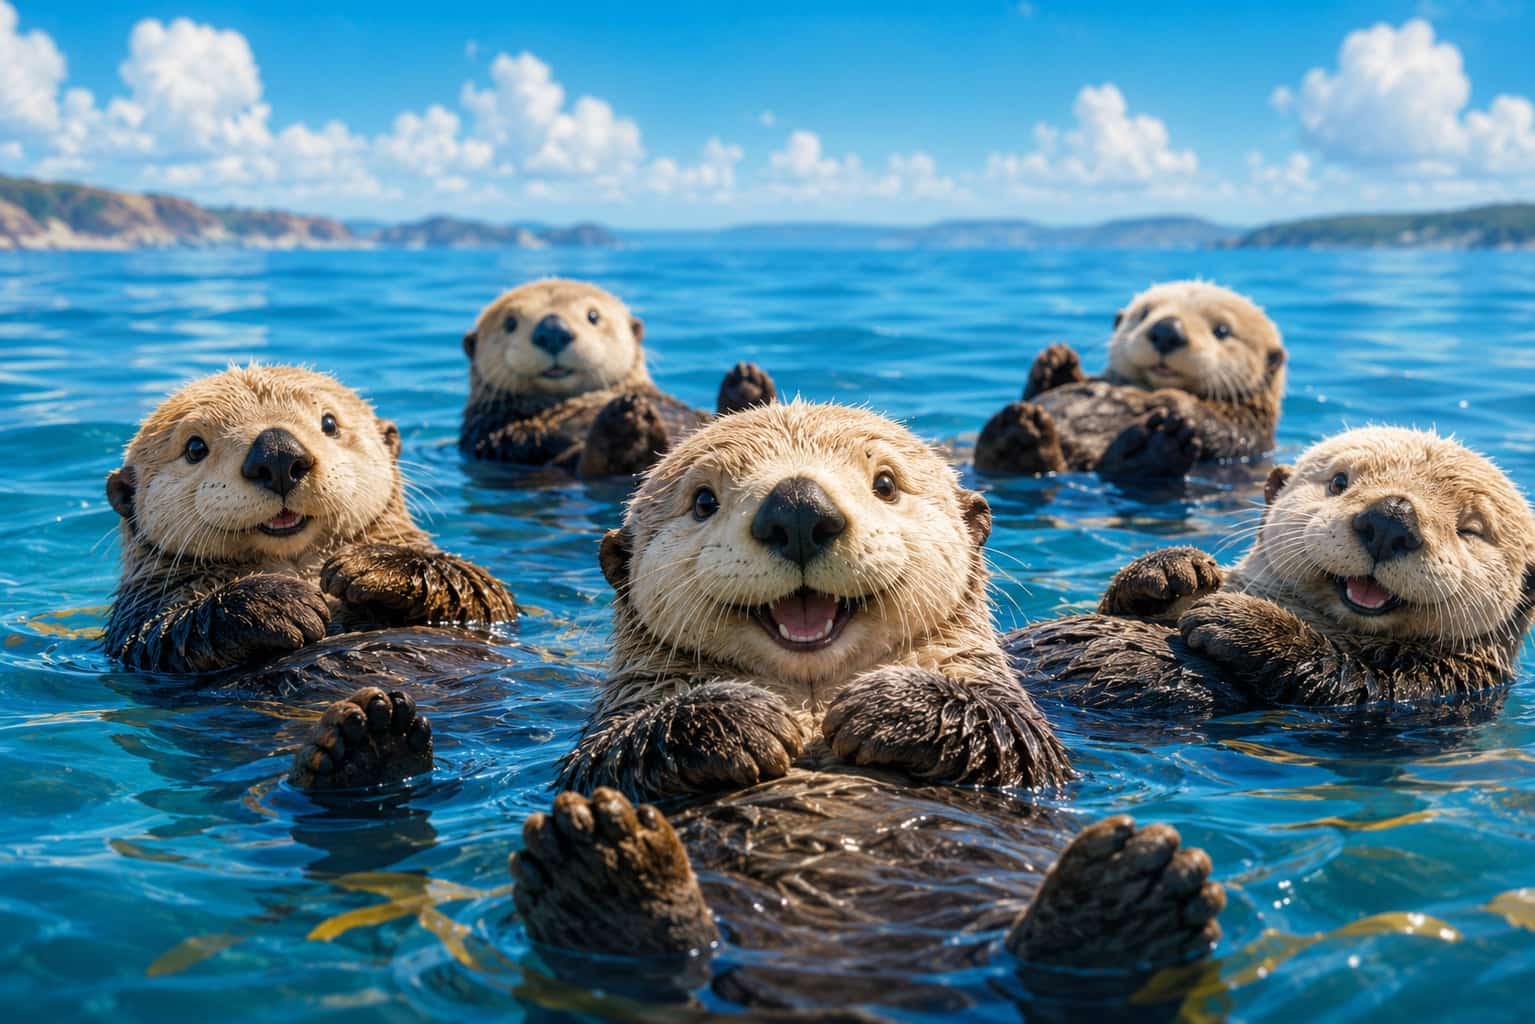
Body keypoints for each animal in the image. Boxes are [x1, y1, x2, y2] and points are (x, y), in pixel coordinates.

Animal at [103, 365, 518, 789]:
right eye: (194, 448)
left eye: (329, 423)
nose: (277, 454)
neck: (296, 564)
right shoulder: (141, 615)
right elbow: (169, 634)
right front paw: (282, 603)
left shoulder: (474, 594)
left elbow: (475, 588)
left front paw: (361, 567)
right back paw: (368, 744)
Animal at [459, 278, 778, 477]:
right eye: (510, 323)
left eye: (593, 316)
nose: (553, 330)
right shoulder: (497, 436)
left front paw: (747, 383)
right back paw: (623, 428)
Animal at [510, 402, 1225, 1010]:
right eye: (703, 500)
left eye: (885, 483)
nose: (798, 508)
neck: (810, 695)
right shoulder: (615, 720)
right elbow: (609, 756)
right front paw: (748, 719)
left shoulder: (1008, 706)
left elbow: (1012, 735)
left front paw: (879, 706)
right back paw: (605, 866)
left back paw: (1123, 896)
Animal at [973, 280, 1286, 480]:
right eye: (1144, 314)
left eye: (1221, 330)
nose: (1167, 330)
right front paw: (1055, 361)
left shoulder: (1253, 430)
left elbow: (1225, 430)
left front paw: (1165, 399)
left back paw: (1158, 445)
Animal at [1007, 427, 1535, 713]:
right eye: (1339, 482)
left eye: (1470, 529)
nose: (1391, 519)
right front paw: (1174, 571)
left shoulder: (1440, 684)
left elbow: (1349, 677)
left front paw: (1241, 623)